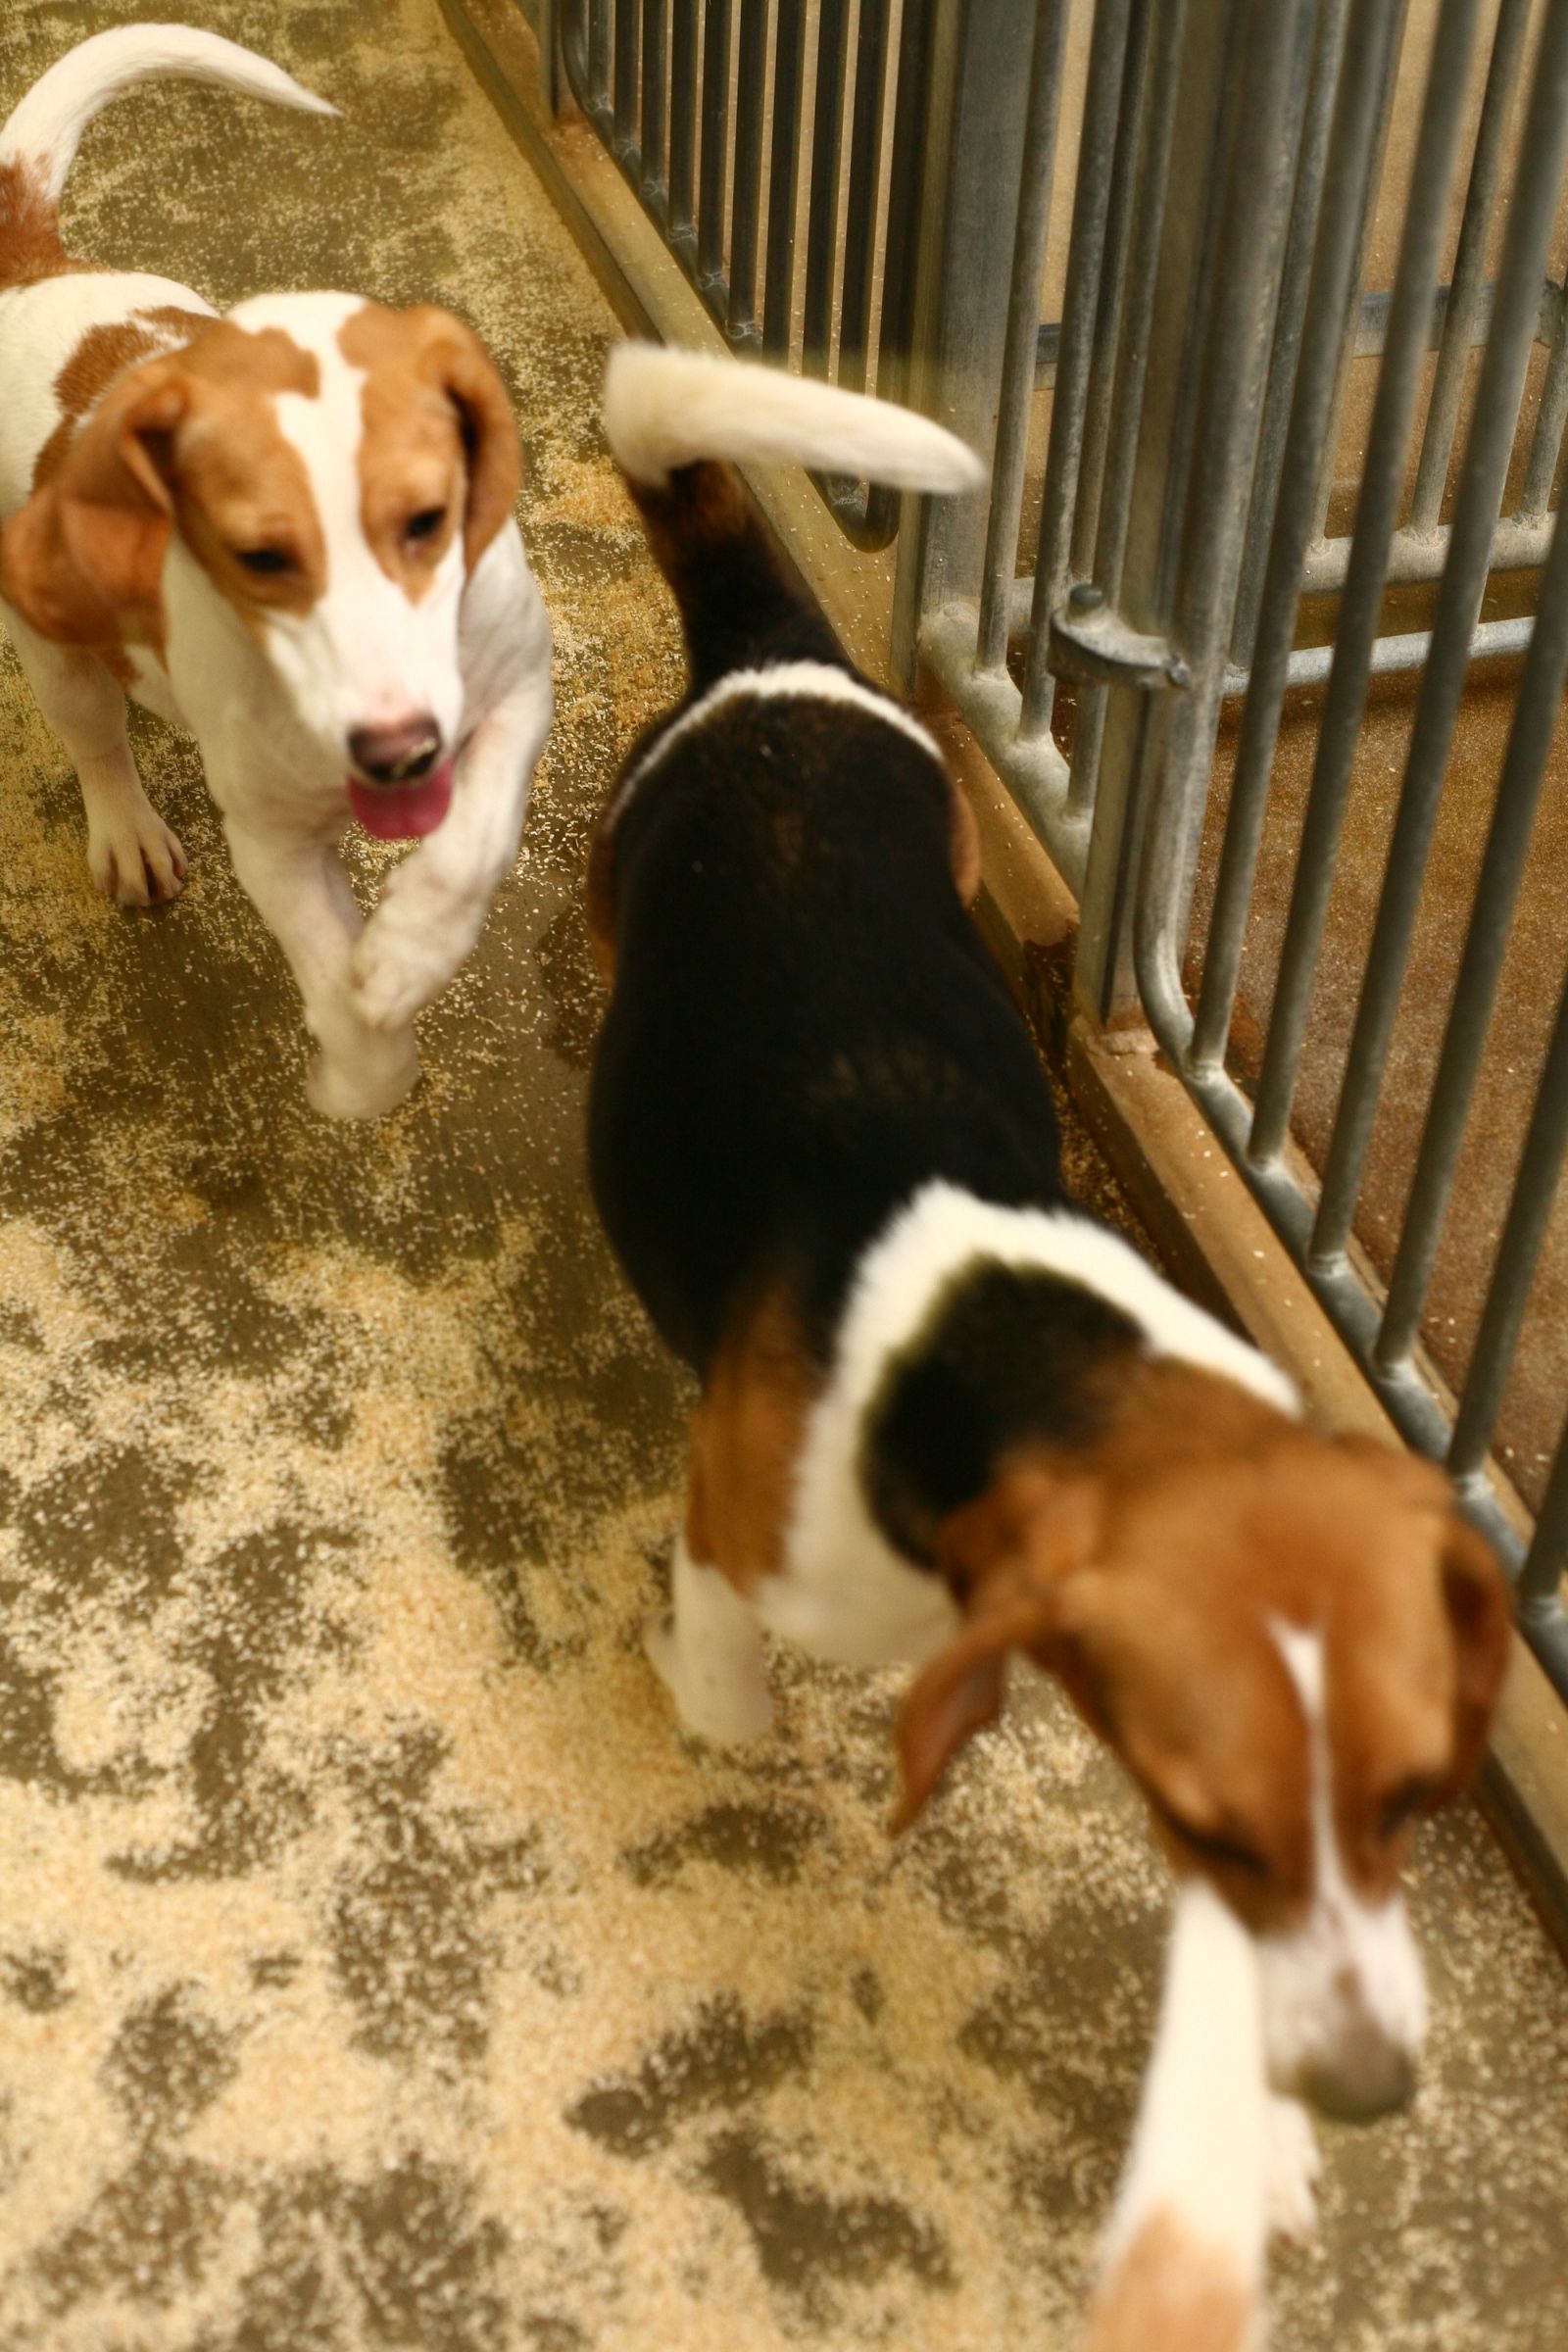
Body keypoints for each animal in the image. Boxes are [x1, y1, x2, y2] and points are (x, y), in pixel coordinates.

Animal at [0, 24, 552, 1109]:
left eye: (427, 522)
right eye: (257, 556)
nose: (398, 752)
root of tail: (31, 273)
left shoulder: (518, 686)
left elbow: (469, 847)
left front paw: (408, 951)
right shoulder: (271, 841)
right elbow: (333, 980)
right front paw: (363, 1068)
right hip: (52, 649)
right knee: (97, 741)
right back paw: (128, 832)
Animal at [592, 341, 1523, 2211]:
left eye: (1411, 1800)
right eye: (1215, 1822)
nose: (1374, 2093)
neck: (1010, 1339)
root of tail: (771, 661)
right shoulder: (741, 1538)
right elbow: (722, 1697)